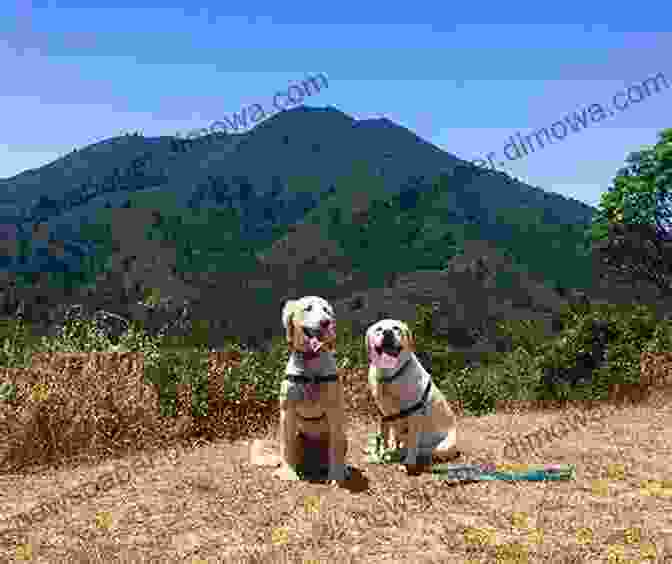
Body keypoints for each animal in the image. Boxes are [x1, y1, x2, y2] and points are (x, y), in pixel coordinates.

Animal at [272, 298, 350, 482]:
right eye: (307, 308)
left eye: (326, 310)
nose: (325, 322)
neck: (310, 362)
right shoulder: (287, 411)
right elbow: (287, 447)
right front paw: (288, 473)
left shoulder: (335, 411)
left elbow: (335, 449)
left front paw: (336, 475)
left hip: (343, 436)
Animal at [364, 320, 460, 474]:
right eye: (378, 329)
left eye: (396, 328)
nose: (387, 332)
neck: (389, 376)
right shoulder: (383, 415)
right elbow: (384, 437)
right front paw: (381, 455)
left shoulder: (414, 416)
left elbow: (412, 442)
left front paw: (407, 463)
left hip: (442, 447)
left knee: (422, 450)